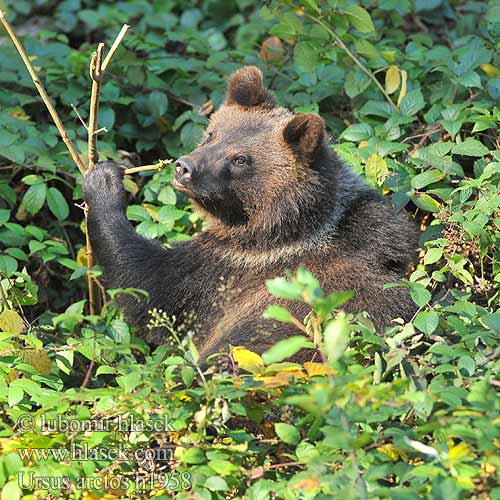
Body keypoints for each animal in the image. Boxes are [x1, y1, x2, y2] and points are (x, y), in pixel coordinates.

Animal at [84, 65, 420, 360]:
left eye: (240, 159)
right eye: (212, 134)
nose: (183, 167)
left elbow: (148, 287)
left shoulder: (226, 273)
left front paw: (104, 181)